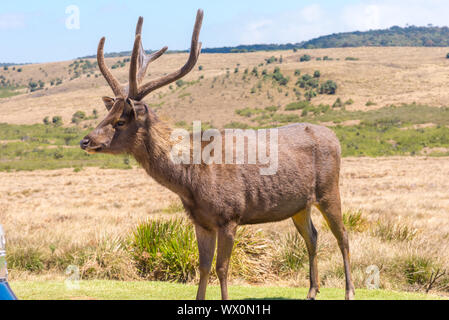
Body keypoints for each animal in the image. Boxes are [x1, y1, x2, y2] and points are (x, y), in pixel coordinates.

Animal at [79, 9, 354, 300]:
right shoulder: (201, 221)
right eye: (106, 114)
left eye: (120, 121)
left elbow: (222, 267)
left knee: (343, 235)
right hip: (299, 204)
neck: (191, 180)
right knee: (312, 236)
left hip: (329, 189)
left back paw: (349, 291)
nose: (85, 141)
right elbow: (203, 266)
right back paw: (312, 290)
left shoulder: (230, 215)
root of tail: (335, 137)